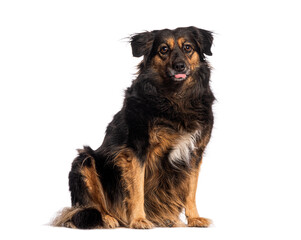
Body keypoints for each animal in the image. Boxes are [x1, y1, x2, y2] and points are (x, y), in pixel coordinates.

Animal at [52, 25, 214, 229]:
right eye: (164, 49)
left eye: (188, 48)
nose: (179, 66)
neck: (176, 97)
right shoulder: (136, 150)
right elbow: (137, 189)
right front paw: (138, 219)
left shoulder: (195, 152)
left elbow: (191, 190)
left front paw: (194, 218)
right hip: (83, 161)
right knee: (87, 206)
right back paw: (108, 218)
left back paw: (168, 219)